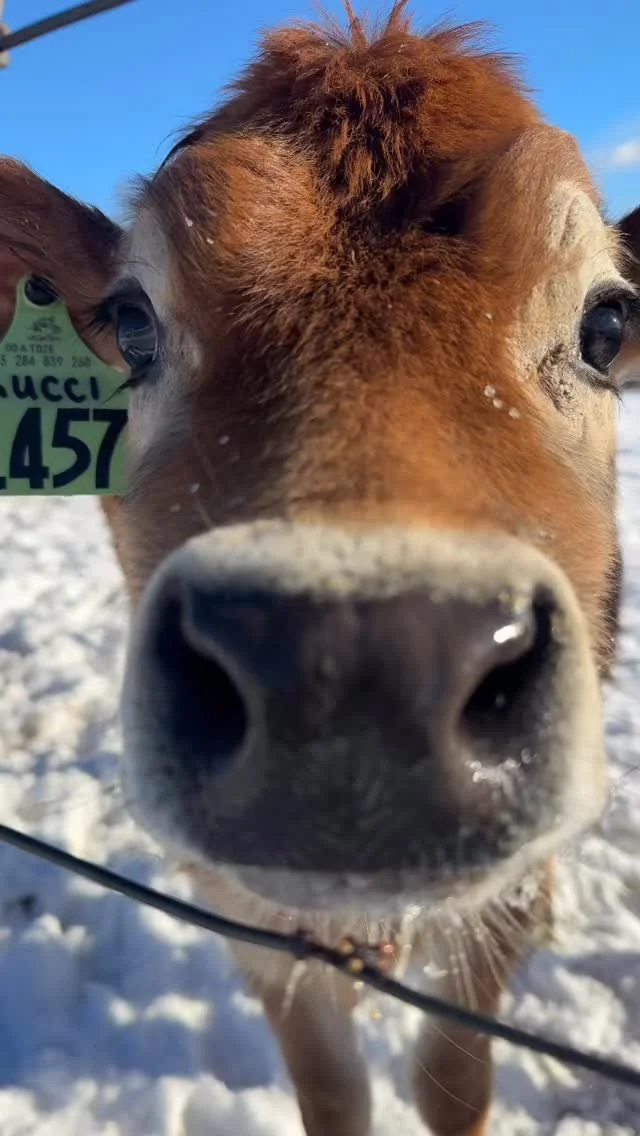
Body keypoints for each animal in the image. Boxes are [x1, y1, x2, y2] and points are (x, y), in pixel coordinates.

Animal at [2, 5, 640, 1134]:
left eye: (606, 323)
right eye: (131, 320)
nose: (356, 680)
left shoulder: (502, 905)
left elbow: (450, 1080)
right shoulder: (243, 911)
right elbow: (333, 1090)